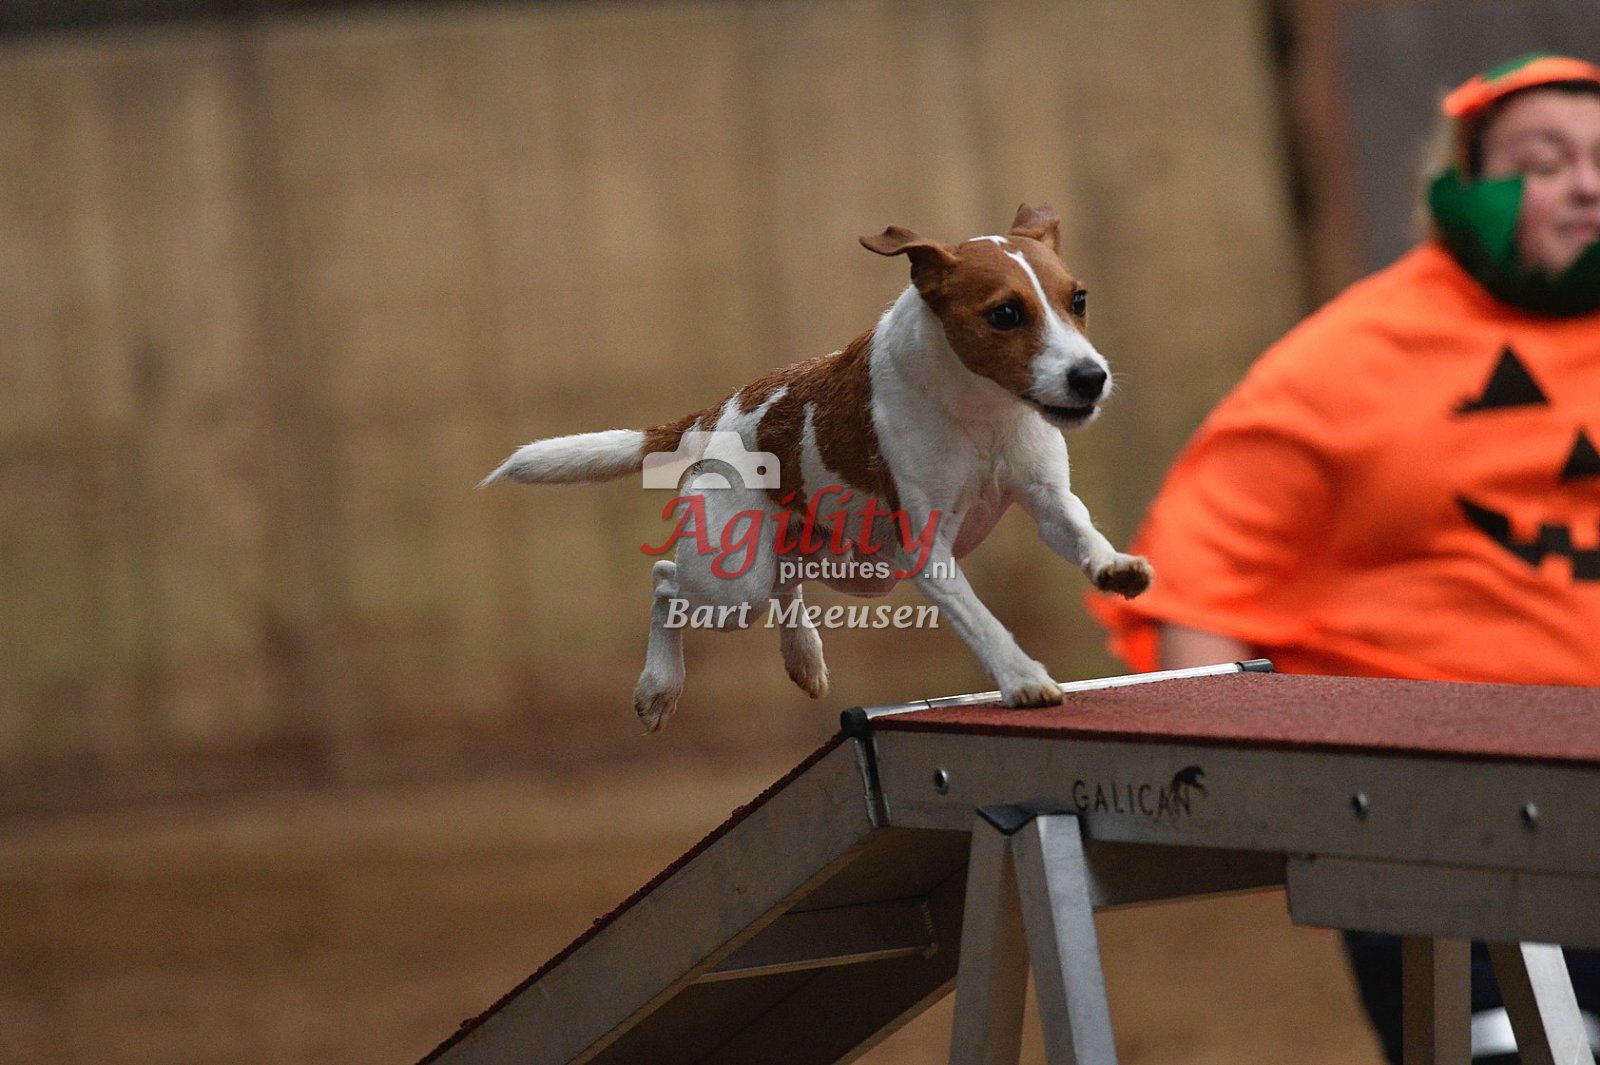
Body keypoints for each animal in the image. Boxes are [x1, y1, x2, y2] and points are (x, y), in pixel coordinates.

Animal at [481, 204, 1153, 731]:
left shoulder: (1046, 498)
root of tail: (714, 414)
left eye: (1078, 300)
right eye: (1006, 314)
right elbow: (981, 621)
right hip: (733, 586)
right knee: (667, 580)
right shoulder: (926, 550)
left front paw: (1115, 568)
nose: (1090, 378)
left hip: (844, 561)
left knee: (785, 582)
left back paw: (802, 654)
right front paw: (1021, 677)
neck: (981, 411)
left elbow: (1080, 531)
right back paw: (658, 689)